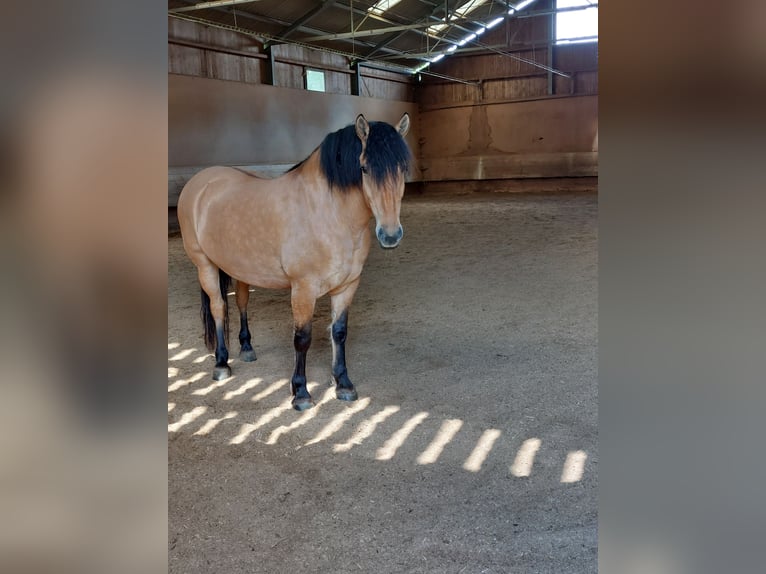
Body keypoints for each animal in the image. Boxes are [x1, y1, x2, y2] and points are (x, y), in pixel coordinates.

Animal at [178, 113, 414, 410]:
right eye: (364, 168)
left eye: (403, 169)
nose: (390, 235)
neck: (328, 212)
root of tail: (200, 181)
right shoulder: (303, 289)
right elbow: (302, 338)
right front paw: (300, 393)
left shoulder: (348, 286)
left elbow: (339, 332)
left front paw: (343, 384)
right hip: (205, 265)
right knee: (219, 307)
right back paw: (221, 364)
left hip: (240, 268)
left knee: (241, 302)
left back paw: (246, 348)